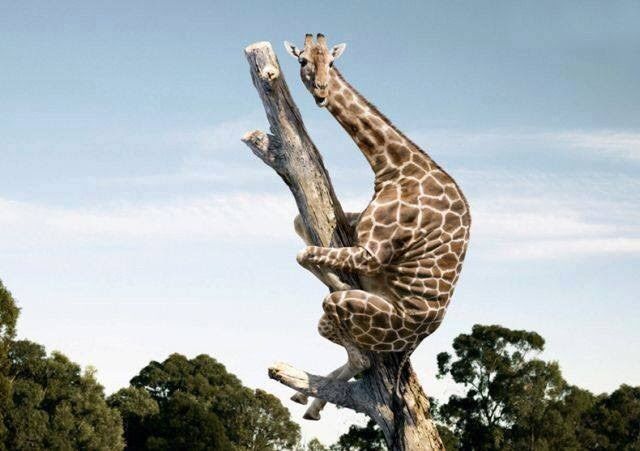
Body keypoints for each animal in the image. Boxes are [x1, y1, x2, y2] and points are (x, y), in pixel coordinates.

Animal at [284, 34, 471, 420]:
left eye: (331, 63)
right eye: (303, 60)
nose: (321, 91)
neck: (394, 167)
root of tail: (417, 339)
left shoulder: (371, 253)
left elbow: (304, 254)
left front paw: (338, 279)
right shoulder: (355, 229)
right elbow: (299, 229)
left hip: (353, 314)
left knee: (358, 356)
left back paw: (311, 400)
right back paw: (307, 401)